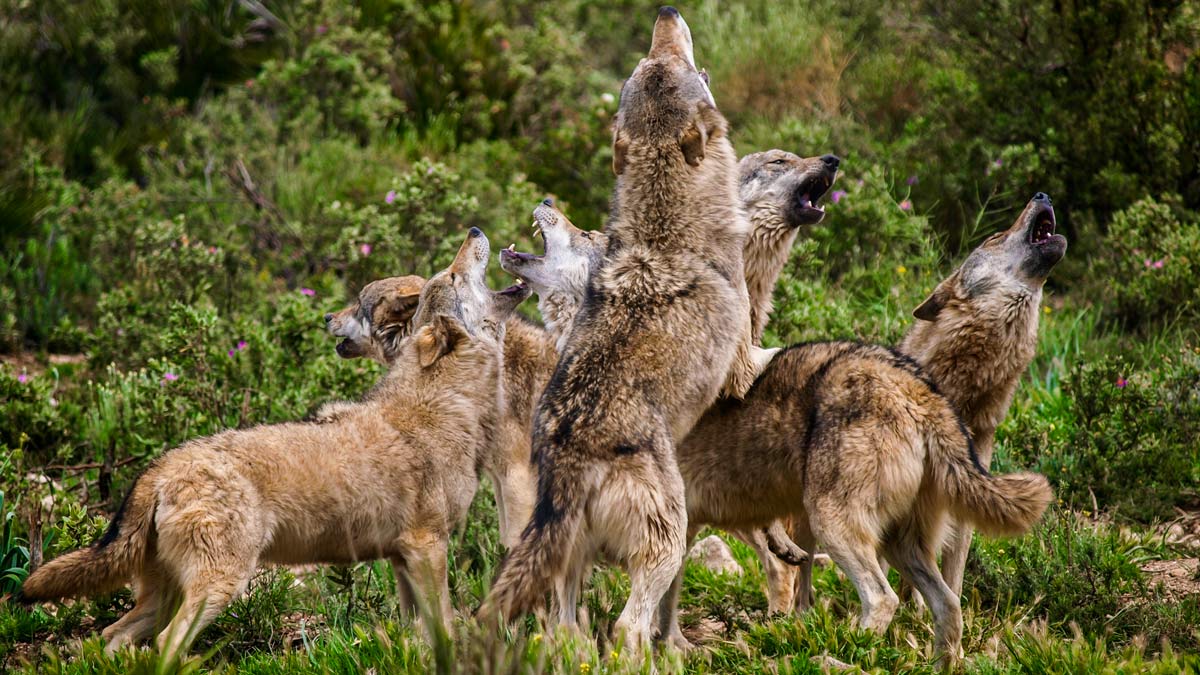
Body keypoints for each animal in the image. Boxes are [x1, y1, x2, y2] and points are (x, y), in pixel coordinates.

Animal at [17, 228, 525, 653]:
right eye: (454, 275)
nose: (475, 230)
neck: (445, 403)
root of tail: (161, 467)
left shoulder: (404, 557)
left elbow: (414, 630)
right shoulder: (427, 546)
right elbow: (445, 626)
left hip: (164, 597)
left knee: (112, 635)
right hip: (220, 588)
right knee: (163, 644)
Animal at [477, 5, 758, 648]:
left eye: (648, 64)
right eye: (671, 64)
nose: (666, 12)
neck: (664, 226)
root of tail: (571, 455)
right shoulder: (739, 355)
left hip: (567, 564)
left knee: (566, 628)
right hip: (668, 538)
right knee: (630, 626)